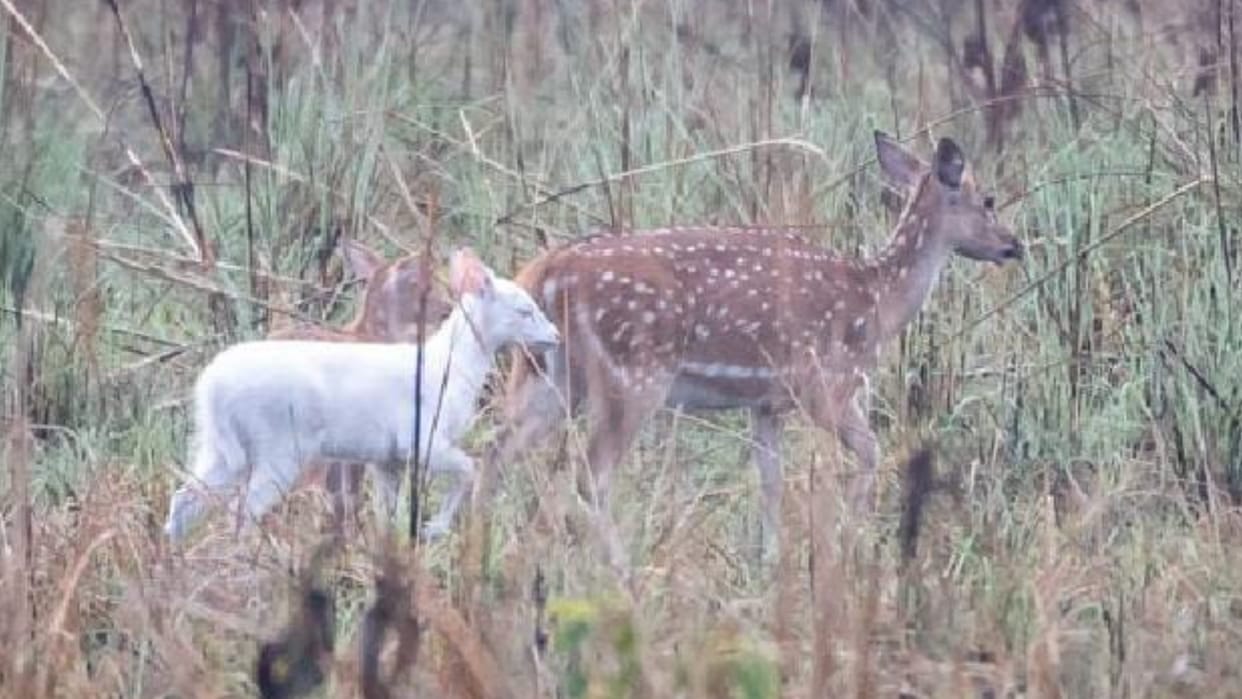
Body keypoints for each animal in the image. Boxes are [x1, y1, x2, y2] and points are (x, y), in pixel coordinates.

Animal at [488, 132, 1024, 560]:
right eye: (988, 199)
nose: (1013, 245)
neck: (877, 301)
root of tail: (547, 273)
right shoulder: (826, 384)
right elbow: (871, 451)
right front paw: (848, 540)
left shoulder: (766, 403)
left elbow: (770, 480)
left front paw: (769, 560)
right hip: (633, 374)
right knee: (590, 474)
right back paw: (619, 569)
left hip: (548, 375)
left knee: (494, 451)